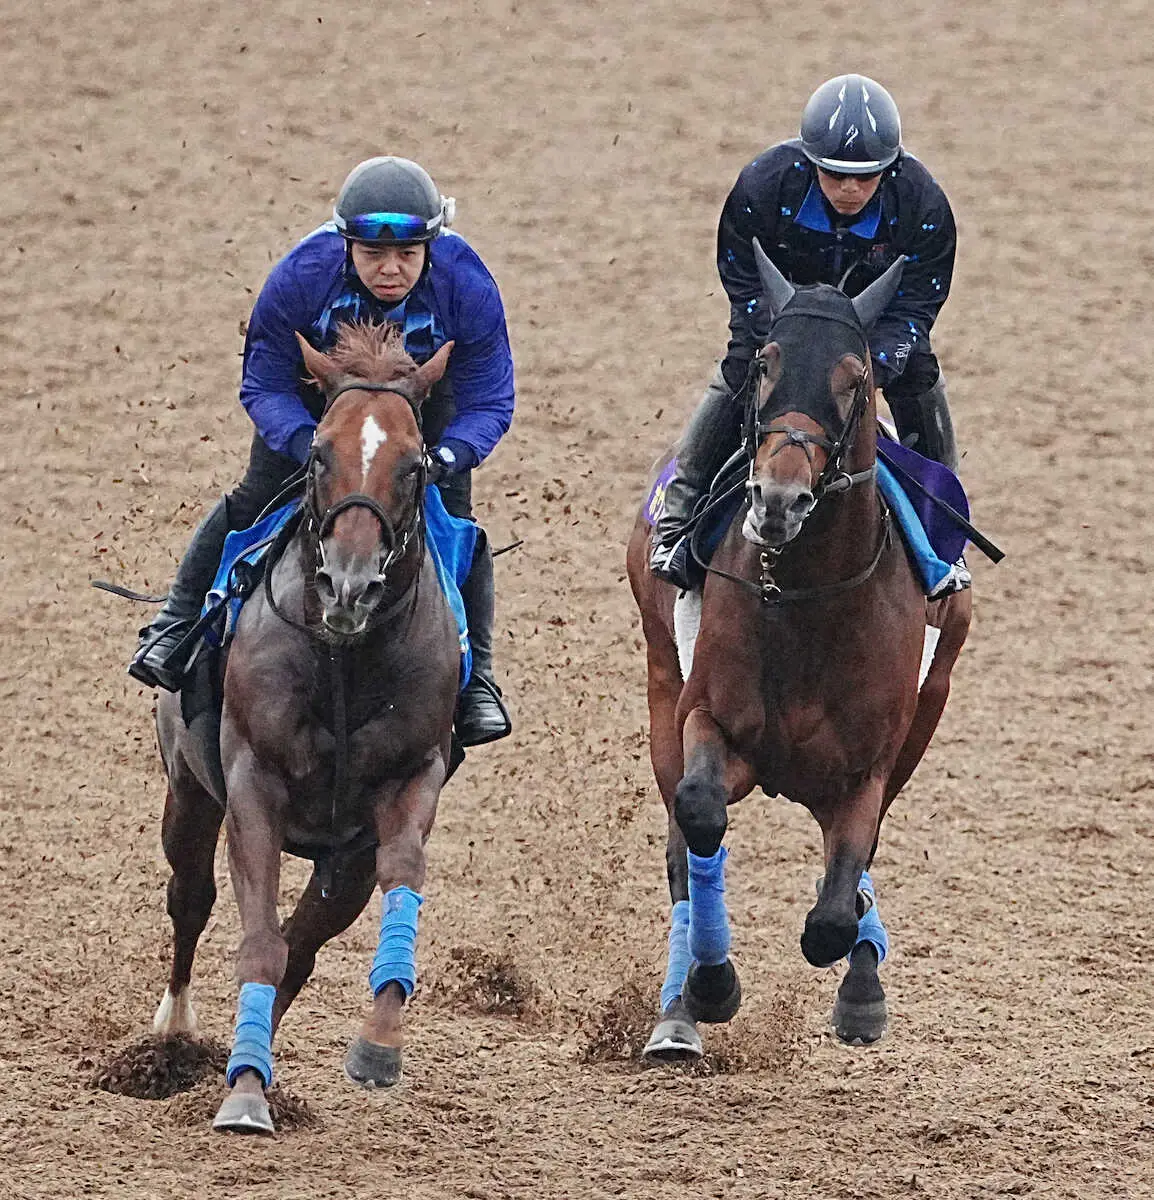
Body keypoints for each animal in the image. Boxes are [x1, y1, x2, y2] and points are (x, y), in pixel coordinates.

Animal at [148, 321, 458, 1132]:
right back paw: (176, 1033)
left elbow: (400, 877)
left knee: (306, 942)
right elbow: (257, 940)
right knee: (191, 899)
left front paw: (378, 1043)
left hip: (340, 862)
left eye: (415, 465)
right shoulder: (252, 783)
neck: (345, 659)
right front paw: (243, 1097)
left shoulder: (406, 783)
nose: (349, 585)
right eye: (318, 452)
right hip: (188, 791)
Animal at [628, 243, 969, 1060]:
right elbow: (699, 816)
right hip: (660, 684)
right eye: (764, 364)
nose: (778, 500)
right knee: (683, 845)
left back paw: (861, 984)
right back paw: (678, 1013)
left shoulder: (869, 766)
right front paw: (710, 987)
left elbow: (837, 908)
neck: (806, 599)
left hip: (927, 711)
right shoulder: (707, 720)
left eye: (857, 379)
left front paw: (858, 982)